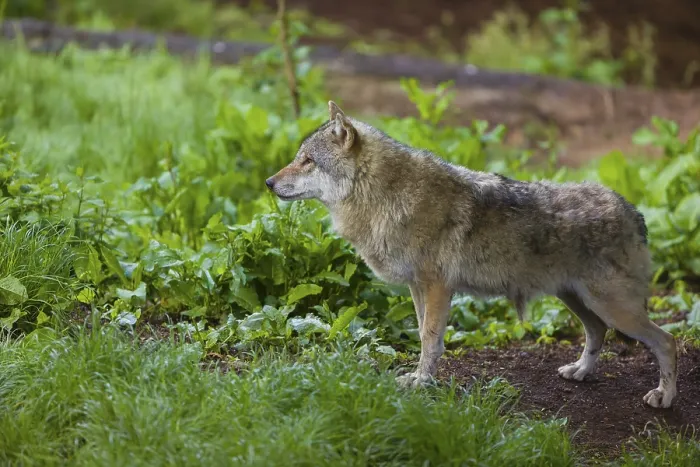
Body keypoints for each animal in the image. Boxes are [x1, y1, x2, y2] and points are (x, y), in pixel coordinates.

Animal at [265, 101, 678, 408]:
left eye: (307, 161)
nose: (268, 183)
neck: (386, 197)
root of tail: (633, 211)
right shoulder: (418, 287)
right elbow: (423, 334)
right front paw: (420, 376)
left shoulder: (436, 287)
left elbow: (429, 337)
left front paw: (422, 381)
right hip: (579, 301)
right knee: (597, 332)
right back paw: (581, 372)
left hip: (612, 307)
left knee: (667, 341)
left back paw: (664, 397)